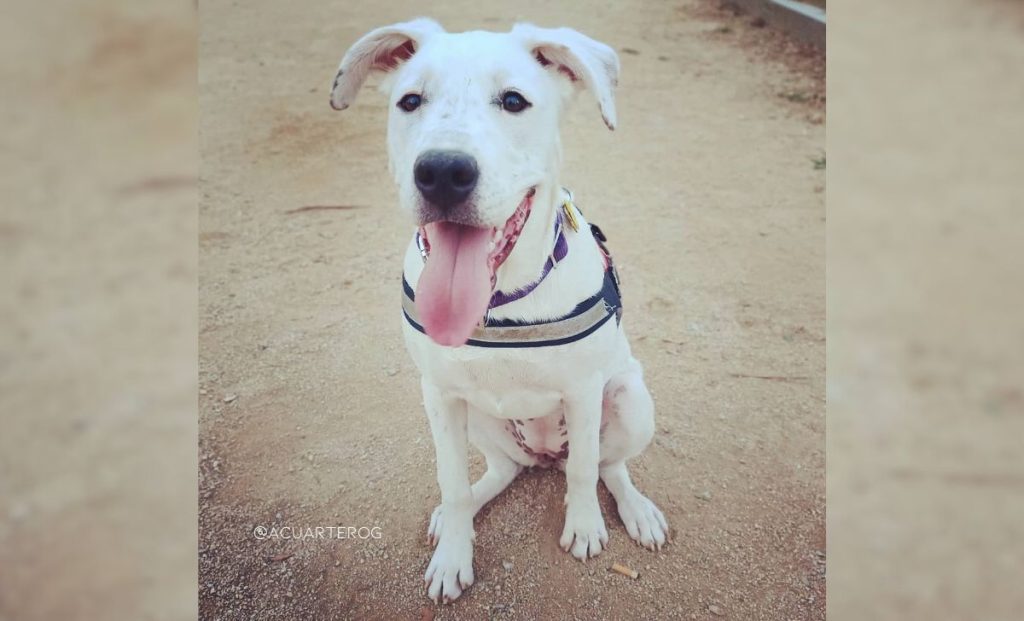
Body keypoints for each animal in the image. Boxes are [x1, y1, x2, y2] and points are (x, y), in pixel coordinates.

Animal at [327, 18, 663, 602]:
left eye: (513, 101)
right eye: (410, 100)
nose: (442, 172)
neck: (500, 301)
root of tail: (545, 455)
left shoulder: (583, 390)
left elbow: (584, 472)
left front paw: (584, 526)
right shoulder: (439, 394)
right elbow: (452, 482)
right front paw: (453, 555)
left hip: (628, 397)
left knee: (606, 463)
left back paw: (634, 510)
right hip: (482, 417)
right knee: (503, 470)